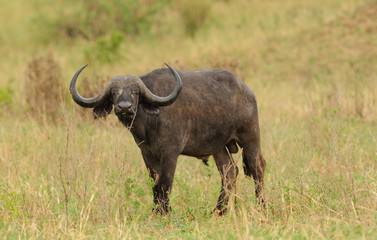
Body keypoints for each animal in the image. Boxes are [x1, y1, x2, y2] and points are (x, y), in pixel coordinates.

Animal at [70, 62, 264, 215]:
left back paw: (261, 206)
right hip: (219, 147)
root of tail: (247, 91)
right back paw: (218, 211)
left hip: (250, 137)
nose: (124, 107)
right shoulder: (147, 154)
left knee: (258, 167)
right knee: (229, 171)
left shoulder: (170, 152)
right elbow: (154, 183)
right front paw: (157, 211)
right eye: (114, 92)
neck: (148, 124)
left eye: (135, 92)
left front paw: (164, 212)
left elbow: (165, 182)